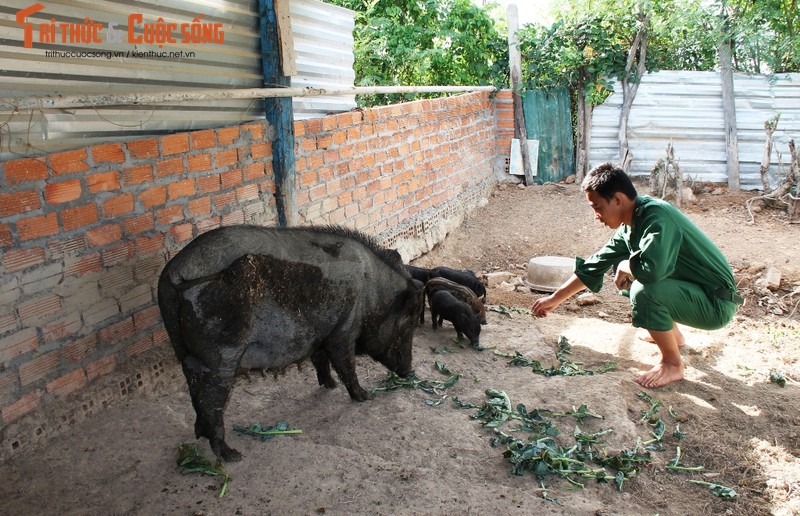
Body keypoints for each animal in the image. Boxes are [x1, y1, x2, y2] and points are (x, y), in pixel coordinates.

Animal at [155, 224, 424, 462]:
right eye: (408, 324)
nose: (410, 371)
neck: (374, 292)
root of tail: (175, 273)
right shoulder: (344, 328)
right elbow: (345, 363)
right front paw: (364, 396)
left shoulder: (321, 334)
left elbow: (320, 359)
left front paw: (330, 385)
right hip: (222, 352)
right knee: (211, 399)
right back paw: (232, 455)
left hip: (182, 348)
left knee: (193, 386)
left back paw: (199, 434)